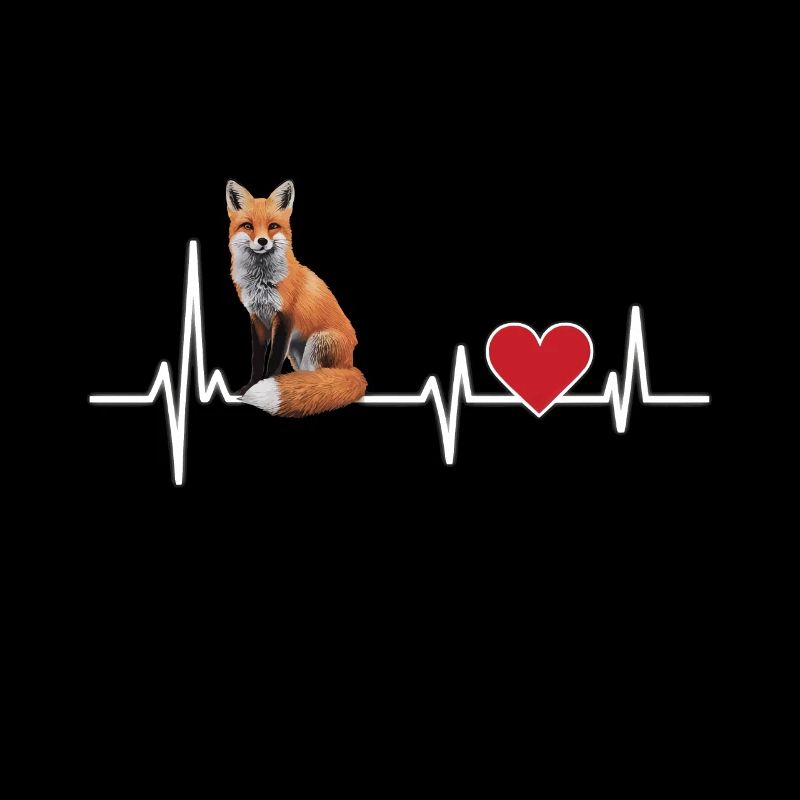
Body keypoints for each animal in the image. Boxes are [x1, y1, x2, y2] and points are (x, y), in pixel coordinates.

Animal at [227, 179, 366, 417]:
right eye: (248, 226)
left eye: (273, 226)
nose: (262, 241)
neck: (262, 281)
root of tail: (351, 366)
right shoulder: (257, 318)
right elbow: (256, 359)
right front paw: (249, 387)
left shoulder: (285, 319)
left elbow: (273, 361)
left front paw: (264, 384)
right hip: (295, 351)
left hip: (318, 342)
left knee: (318, 379)